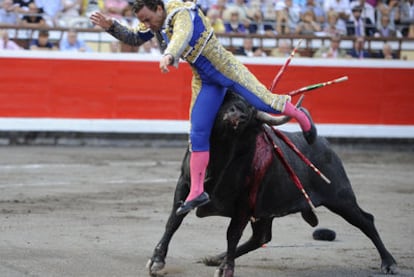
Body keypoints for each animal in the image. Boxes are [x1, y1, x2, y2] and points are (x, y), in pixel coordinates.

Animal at [146, 91, 398, 274]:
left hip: (340, 197)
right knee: (261, 237)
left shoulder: (244, 201)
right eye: (228, 100)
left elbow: (232, 233)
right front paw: (157, 260)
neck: (220, 156)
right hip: (267, 209)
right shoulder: (185, 185)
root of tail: (326, 145)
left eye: (249, 109)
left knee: (366, 221)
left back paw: (389, 263)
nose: (236, 114)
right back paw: (215, 257)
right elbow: (173, 221)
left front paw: (226, 269)